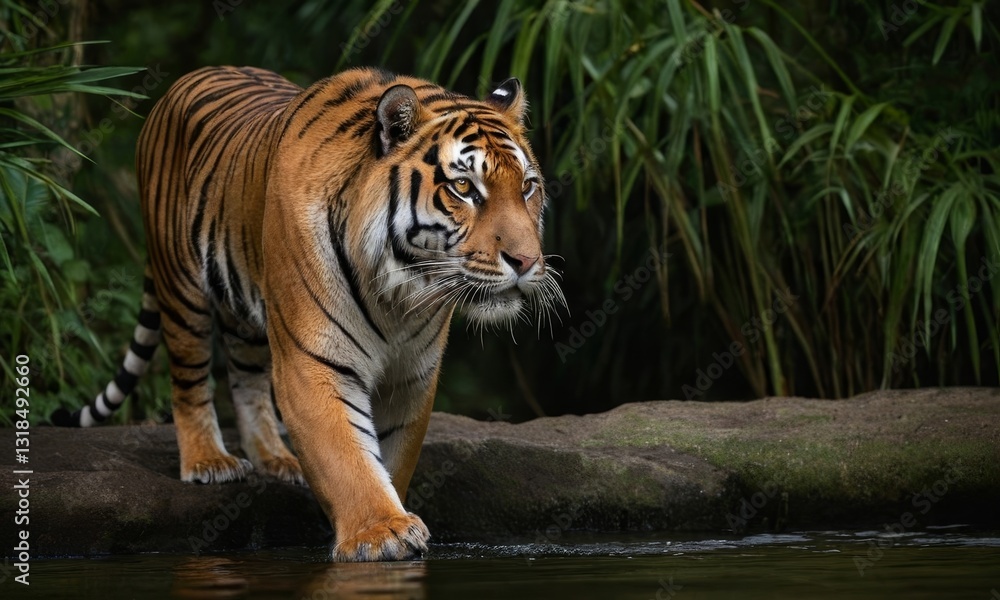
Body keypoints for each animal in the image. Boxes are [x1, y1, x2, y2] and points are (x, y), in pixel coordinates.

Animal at [51, 65, 564, 561]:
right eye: (463, 188)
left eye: (527, 187)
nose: (526, 262)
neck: (397, 293)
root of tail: (182, 82)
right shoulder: (312, 360)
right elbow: (346, 453)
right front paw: (381, 532)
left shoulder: (412, 374)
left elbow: (391, 455)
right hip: (181, 287)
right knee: (189, 379)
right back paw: (208, 461)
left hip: (248, 316)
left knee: (246, 381)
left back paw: (275, 459)